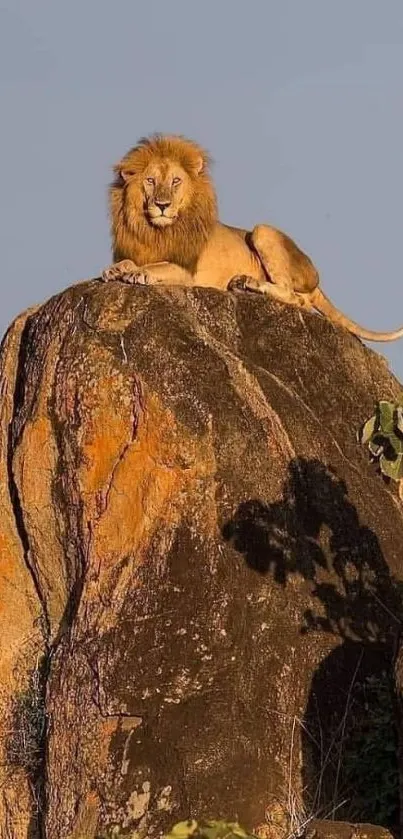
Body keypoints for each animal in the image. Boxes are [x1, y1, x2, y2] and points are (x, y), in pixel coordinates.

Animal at [102, 134, 403, 342]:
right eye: (150, 181)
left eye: (176, 181)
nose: (162, 205)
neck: (155, 230)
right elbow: (127, 262)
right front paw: (115, 270)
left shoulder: (186, 271)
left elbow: (158, 266)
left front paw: (139, 273)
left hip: (262, 231)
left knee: (293, 296)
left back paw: (247, 283)